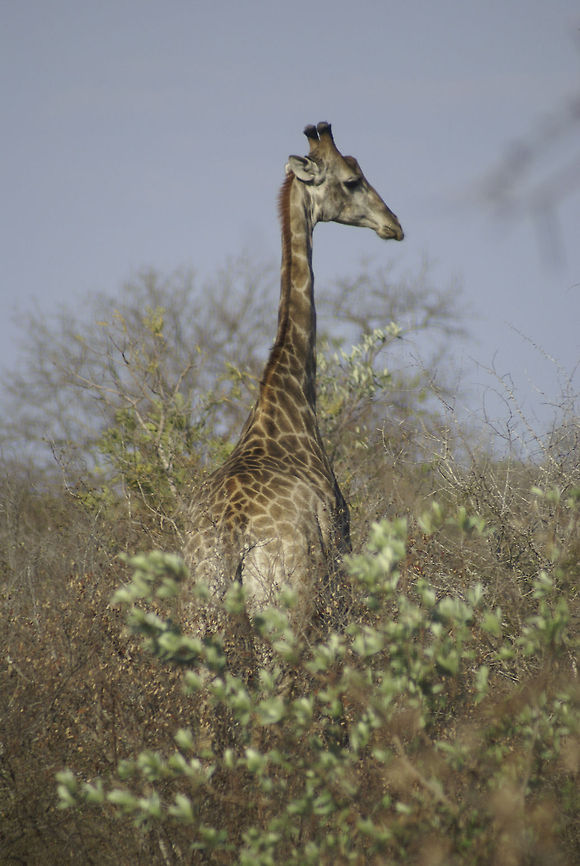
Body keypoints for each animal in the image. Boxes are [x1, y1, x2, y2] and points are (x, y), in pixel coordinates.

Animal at [185, 122, 403, 617]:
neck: (289, 397)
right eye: (353, 180)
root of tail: (233, 536)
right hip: (291, 602)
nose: (394, 225)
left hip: (197, 612)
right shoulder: (341, 552)